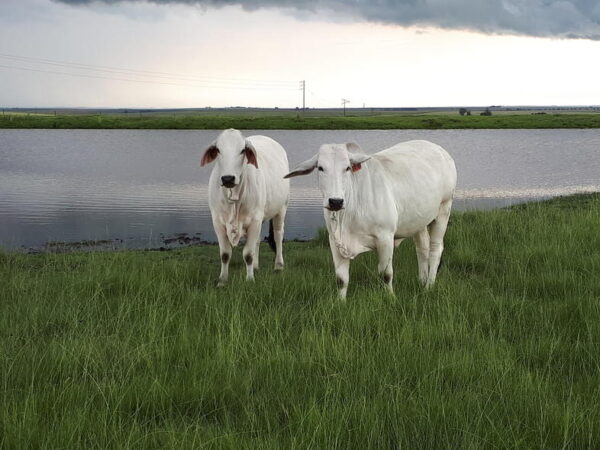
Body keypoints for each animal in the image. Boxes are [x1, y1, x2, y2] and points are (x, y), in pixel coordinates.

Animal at [200, 128, 290, 286]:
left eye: (242, 150)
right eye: (218, 149)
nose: (228, 178)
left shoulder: (255, 220)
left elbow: (248, 254)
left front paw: (249, 279)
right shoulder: (217, 222)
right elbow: (225, 254)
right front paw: (222, 280)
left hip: (281, 209)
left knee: (278, 236)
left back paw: (278, 265)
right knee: (258, 241)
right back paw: (256, 266)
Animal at [284, 139, 458, 298]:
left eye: (347, 168)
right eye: (320, 168)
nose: (335, 201)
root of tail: (439, 149)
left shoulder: (385, 238)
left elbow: (386, 274)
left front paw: (391, 298)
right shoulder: (334, 241)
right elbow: (341, 279)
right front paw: (340, 303)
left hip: (444, 209)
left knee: (435, 249)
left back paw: (429, 286)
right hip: (419, 221)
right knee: (422, 248)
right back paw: (422, 281)